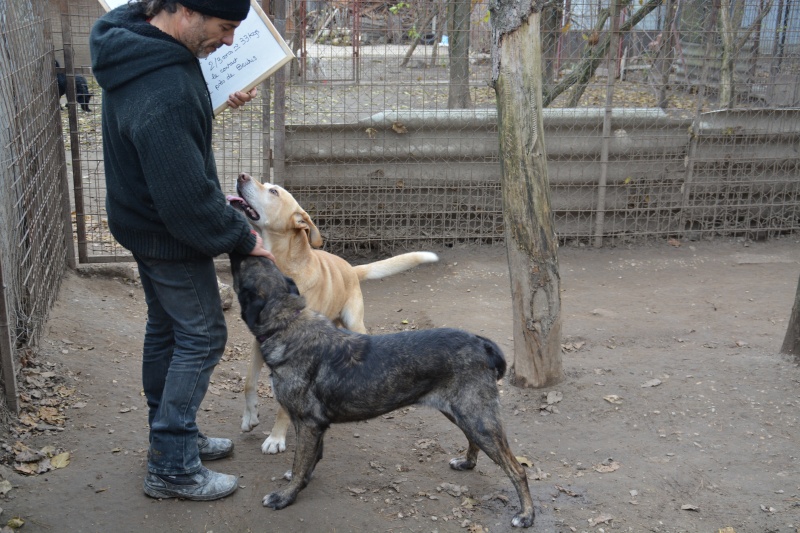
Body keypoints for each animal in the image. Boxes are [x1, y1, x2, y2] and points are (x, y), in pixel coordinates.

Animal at [225, 174, 438, 454]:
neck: (283, 267)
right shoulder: (260, 342)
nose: (243, 176)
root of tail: (352, 268)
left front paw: (276, 438)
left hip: (354, 322)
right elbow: (249, 382)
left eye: (273, 192)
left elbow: (285, 406)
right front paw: (249, 417)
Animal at [228, 255, 536, 528]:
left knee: (517, 469)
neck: (288, 325)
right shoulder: (316, 427)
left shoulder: (307, 424)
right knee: (474, 441)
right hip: (464, 414)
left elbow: (301, 464)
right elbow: (309, 462)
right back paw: (467, 463)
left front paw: (286, 496)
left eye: (241, 269)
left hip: (478, 418)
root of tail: (479, 342)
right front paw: (300, 482)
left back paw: (526, 515)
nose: (244, 247)